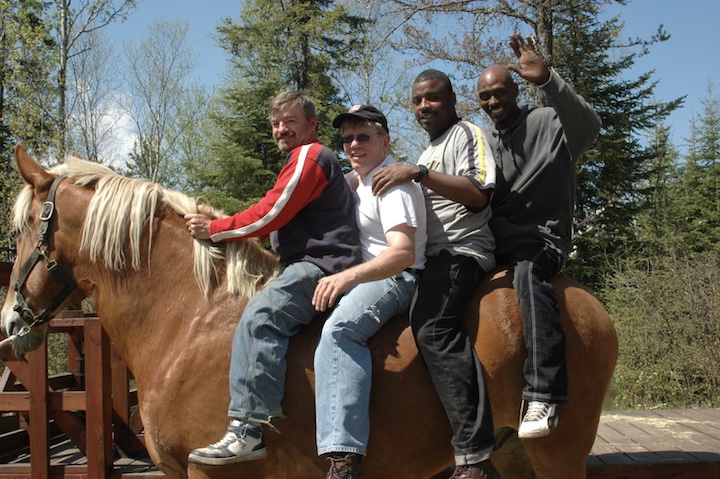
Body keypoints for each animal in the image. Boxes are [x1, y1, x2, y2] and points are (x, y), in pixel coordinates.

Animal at [1, 146, 620, 479]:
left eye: (24, 228)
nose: (10, 321)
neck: (189, 320)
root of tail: (583, 301)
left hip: (558, 453)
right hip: (517, 454)